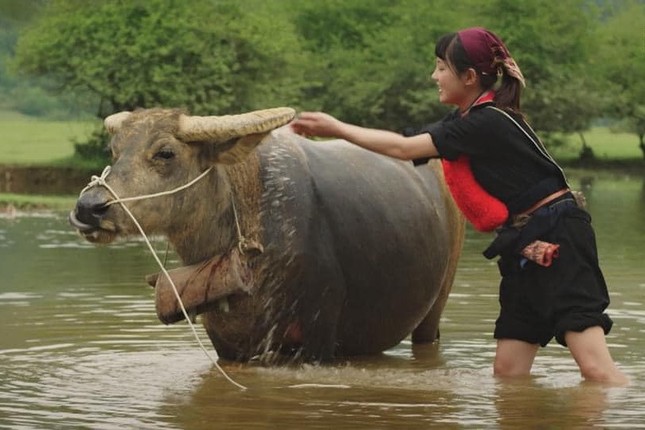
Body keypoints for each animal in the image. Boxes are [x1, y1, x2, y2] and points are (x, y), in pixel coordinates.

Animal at [69, 107, 462, 362]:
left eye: (166, 152)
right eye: (115, 151)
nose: (89, 208)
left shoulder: (316, 341)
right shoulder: (227, 345)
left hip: (434, 308)